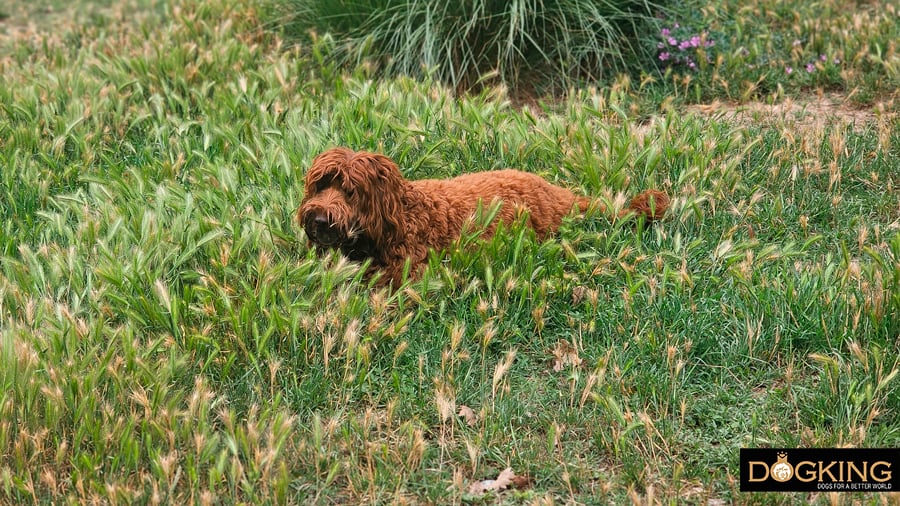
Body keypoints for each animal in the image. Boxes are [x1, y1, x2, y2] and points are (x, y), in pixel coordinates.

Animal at [298, 148, 664, 286]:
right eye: (320, 185)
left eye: (350, 191)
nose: (318, 219)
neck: (403, 212)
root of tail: (558, 194)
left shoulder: (409, 267)